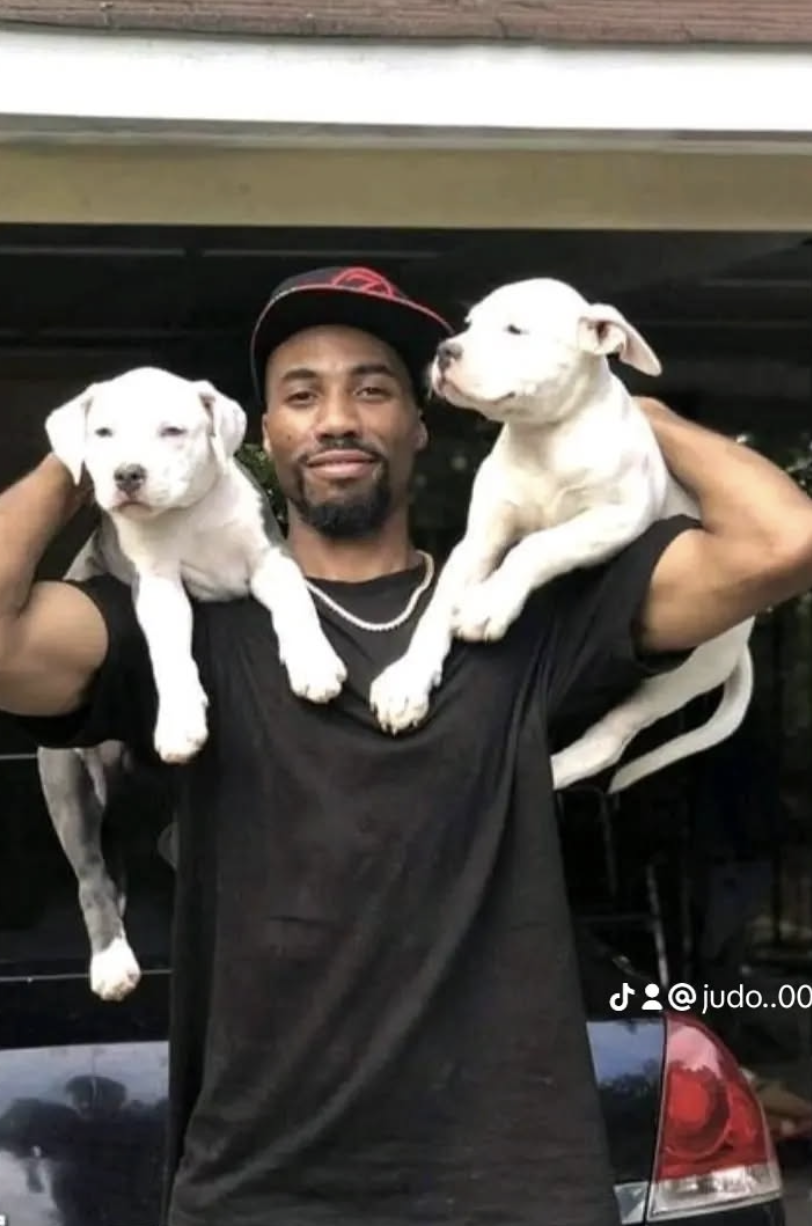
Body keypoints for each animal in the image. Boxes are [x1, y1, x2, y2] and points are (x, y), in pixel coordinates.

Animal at [40, 365, 348, 997]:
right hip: (66, 777)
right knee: (90, 873)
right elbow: (171, 652)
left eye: (172, 431)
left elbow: (296, 608)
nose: (126, 475)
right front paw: (181, 722)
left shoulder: (272, 560)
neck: (188, 514)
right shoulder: (156, 585)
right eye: (102, 433)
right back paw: (111, 960)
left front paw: (313, 664)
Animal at [369, 278, 754, 794]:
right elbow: (438, 608)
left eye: (515, 330)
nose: (445, 351)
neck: (545, 440)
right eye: (469, 325)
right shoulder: (481, 539)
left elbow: (540, 545)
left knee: (609, 741)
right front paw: (407, 681)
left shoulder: (617, 518)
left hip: (673, 680)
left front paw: (489, 605)